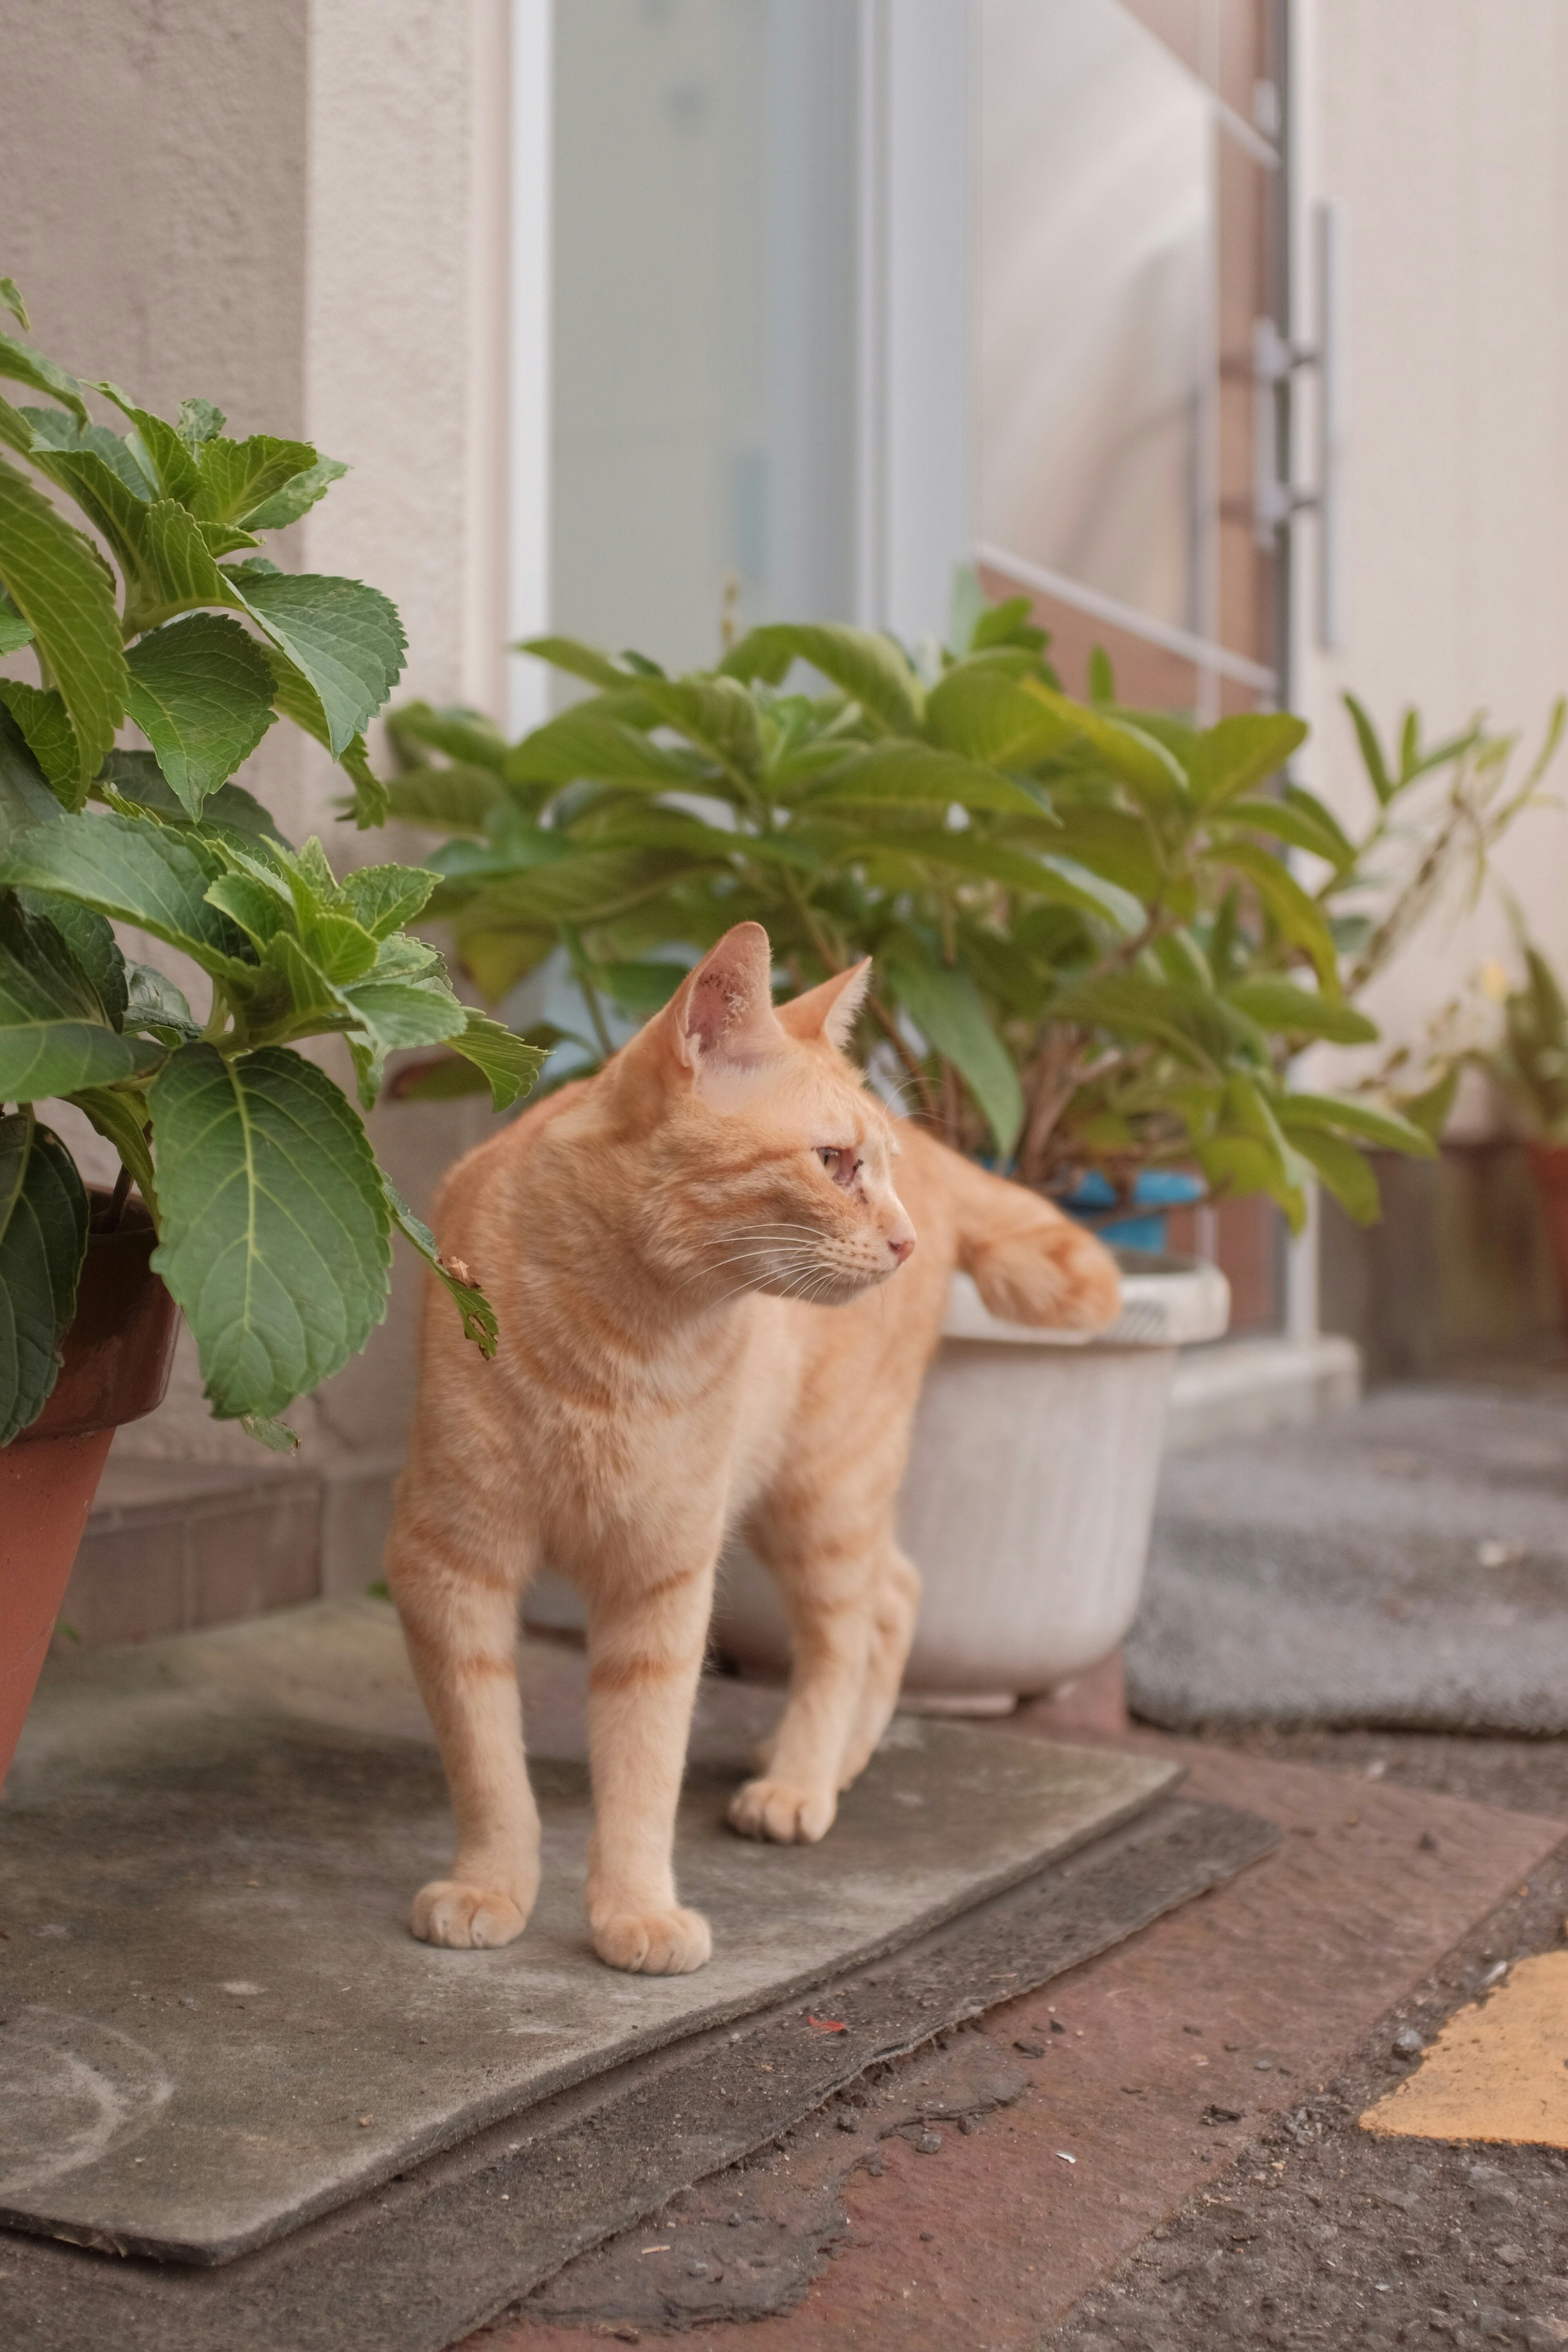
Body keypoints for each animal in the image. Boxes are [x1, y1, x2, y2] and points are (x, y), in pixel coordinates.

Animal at [393, 917, 1128, 1966]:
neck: (622, 1339)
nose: (902, 1239)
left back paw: (802, 1782)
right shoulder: (450, 1566)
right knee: (894, 1595)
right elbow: (489, 1763)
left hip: (824, 1490)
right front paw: (492, 1886)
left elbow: (644, 1767)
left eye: (874, 1166)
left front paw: (635, 1911)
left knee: (853, 1625)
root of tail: (943, 1161)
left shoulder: (664, 1582)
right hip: (806, 1502)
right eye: (835, 1163)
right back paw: (833, 1761)